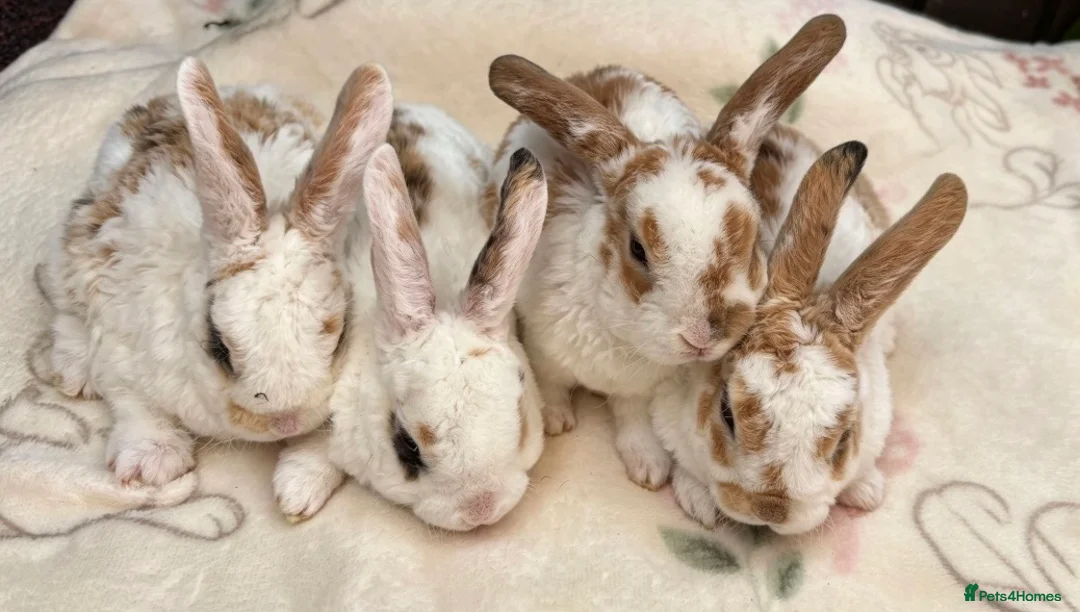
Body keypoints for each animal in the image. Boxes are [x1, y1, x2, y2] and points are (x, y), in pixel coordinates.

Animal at [38, 57, 394, 487]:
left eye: (339, 337)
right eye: (219, 346)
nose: (283, 421)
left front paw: (298, 484)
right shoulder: (124, 353)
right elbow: (135, 405)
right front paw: (153, 463)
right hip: (71, 252)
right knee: (64, 305)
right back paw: (76, 371)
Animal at [485, 15, 847, 489]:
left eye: (752, 245)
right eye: (638, 249)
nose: (703, 337)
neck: (622, 336)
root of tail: (598, 71)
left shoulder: (641, 390)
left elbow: (633, 419)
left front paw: (649, 469)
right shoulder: (546, 352)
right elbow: (552, 387)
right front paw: (557, 421)